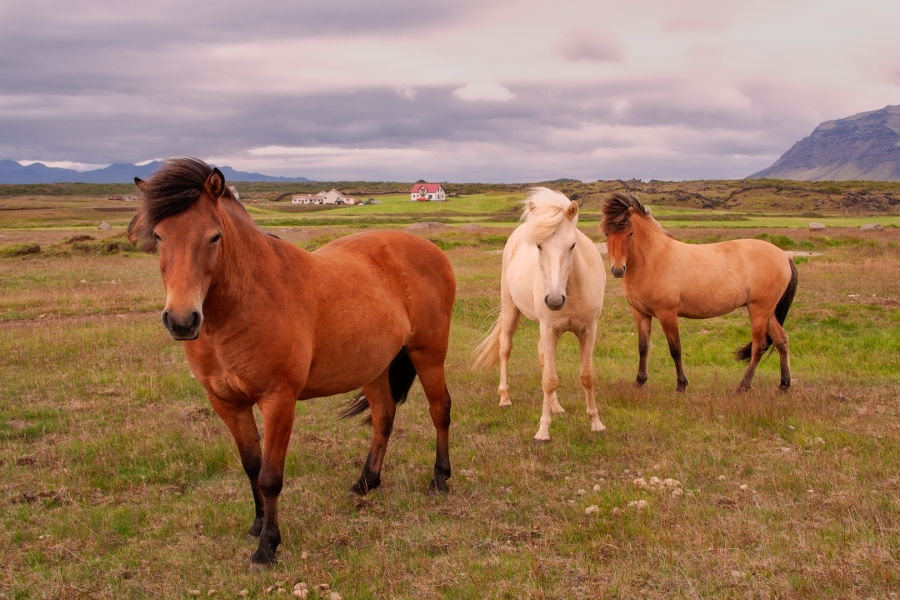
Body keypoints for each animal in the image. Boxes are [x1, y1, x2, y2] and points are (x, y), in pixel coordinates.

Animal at [132, 157, 458, 564]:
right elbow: (251, 466)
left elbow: (271, 476)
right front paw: (257, 525)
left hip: (428, 353)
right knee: (384, 416)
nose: (181, 320)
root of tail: (431, 249)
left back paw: (440, 479)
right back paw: (365, 483)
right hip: (374, 365)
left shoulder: (278, 401)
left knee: (439, 409)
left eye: (214, 236)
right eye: (159, 236)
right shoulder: (226, 403)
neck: (245, 303)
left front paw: (267, 546)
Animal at [474, 188, 608, 440]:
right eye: (539, 246)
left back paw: (556, 406)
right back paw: (505, 398)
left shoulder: (588, 331)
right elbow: (549, 381)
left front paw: (596, 422)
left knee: (542, 358)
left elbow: (587, 376)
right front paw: (543, 430)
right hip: (511, 308)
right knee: (505, 348)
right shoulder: (549, 329)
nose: (554, 300)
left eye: (572, 245)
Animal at [600, 192, 800, 394]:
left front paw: (681, 385)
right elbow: (643, 347)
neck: (652, 259)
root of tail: (784, 256)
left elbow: (675, 349)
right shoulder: (641, 313)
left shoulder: (667, 314)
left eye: (630, 233)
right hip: (768, 312)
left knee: (759, 346)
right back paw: (783, 385)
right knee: (782, 341)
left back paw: (743, 386)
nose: (618, 270)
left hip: (758, 310)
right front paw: (639, 381)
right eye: (607, 233)